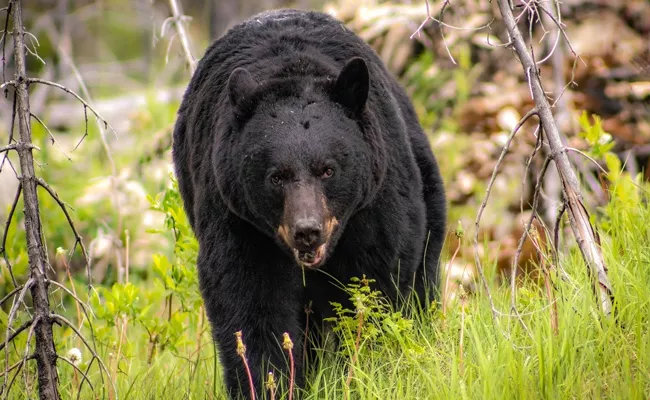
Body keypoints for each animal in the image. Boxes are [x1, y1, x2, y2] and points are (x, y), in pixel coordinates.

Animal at [171, 7, 446, 398]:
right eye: (276, 176)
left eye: (328, 169)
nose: (307, 231)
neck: (292, 70)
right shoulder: (236, 217)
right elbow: (250, 302)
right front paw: (268, 383)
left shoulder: (375, 204)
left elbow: (376, 286)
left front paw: (369, 372)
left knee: (423, 277)